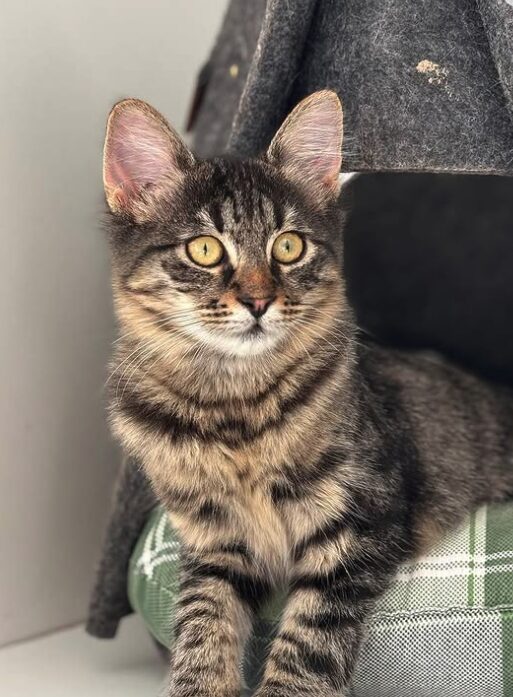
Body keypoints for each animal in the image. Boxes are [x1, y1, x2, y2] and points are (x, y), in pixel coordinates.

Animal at [102, 89, 512, 692]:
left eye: (289, 246)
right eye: (205, 250)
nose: (257, 301)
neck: (235, 408)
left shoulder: (358, 524)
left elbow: (306, 646)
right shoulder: (215, 543)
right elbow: (202, 628)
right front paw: (198, 684)